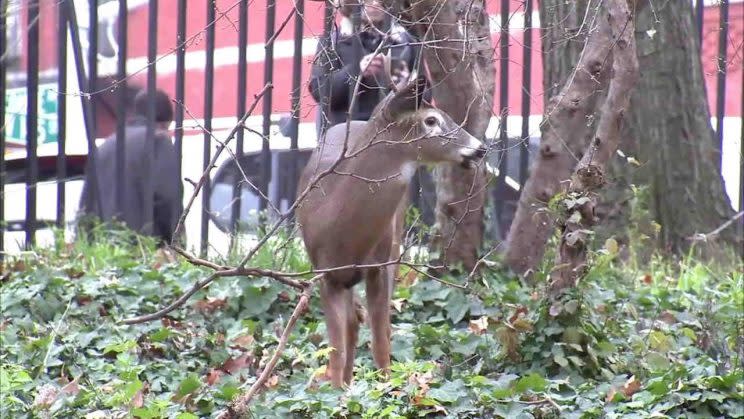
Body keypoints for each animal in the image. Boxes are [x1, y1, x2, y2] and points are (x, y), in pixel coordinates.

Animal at [296, 78, 488, 388]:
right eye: (431, 120)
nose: (479, 148)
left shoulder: (379, 265)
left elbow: (381, 341)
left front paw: (387, 387)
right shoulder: (326, 274)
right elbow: (336, 349)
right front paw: (336, 391)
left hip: (394, 248)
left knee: (376, 325)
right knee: (353, 323)